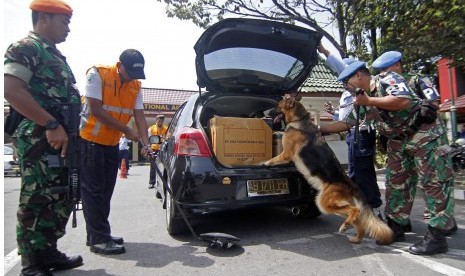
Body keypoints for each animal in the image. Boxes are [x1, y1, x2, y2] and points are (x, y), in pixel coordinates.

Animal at [262, 98, 394, 245]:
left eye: (277, 106)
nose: (263, 112)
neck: (299, 119)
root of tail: (351, 185)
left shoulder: (286, 154)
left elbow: (274, 159)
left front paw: (264, 162)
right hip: (332, 205)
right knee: (358, 219)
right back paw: (355, 236)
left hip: (324, 203)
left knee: (355, 210)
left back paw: (347, 227)